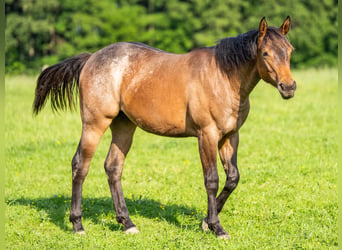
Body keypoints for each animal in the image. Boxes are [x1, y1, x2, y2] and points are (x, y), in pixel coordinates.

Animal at [34, 15, 296, 238]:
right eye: (265, 53)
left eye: (289, 51)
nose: (289, 87)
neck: (223, 78)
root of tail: (91, 58)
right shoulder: (207, 135)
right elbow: (211, 179)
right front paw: (216, 227)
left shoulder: (230, 136)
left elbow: (232, 178)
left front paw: (205, 222)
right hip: (94, 124)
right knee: (80, 165)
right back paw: (77, 225)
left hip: (124, 127)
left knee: (113, 167)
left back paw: (127, 223)